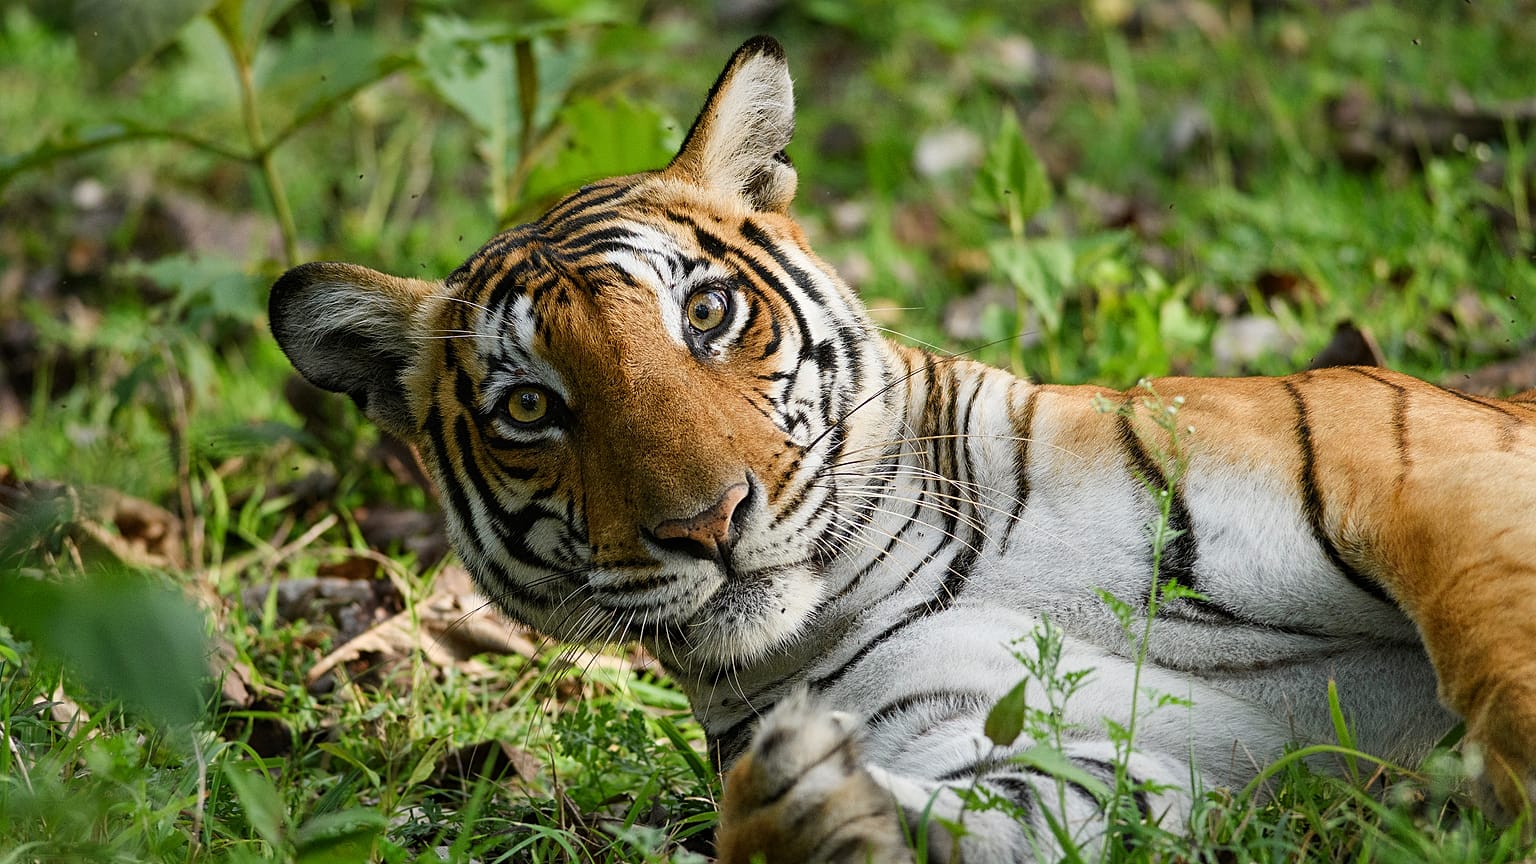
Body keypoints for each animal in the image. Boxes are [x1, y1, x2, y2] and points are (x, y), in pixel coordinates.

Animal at [270, 36, 1536, 863]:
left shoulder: (1411, 464)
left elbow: (1499, 656)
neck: (884, 580)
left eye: (706, 314)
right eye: (532, 408)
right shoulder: (1089, 755)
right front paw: (807, 816)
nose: (707, 522)